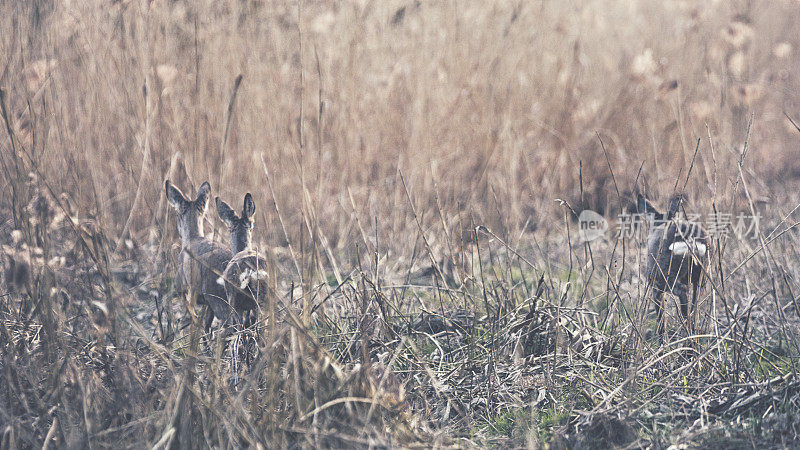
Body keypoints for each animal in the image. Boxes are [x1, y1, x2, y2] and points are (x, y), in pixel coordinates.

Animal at [166, 179, 233, 330]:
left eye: (177, 215)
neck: (193, 238)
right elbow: (207, 323)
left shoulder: (182, 285)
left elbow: (190, 308)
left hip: (217, 298)